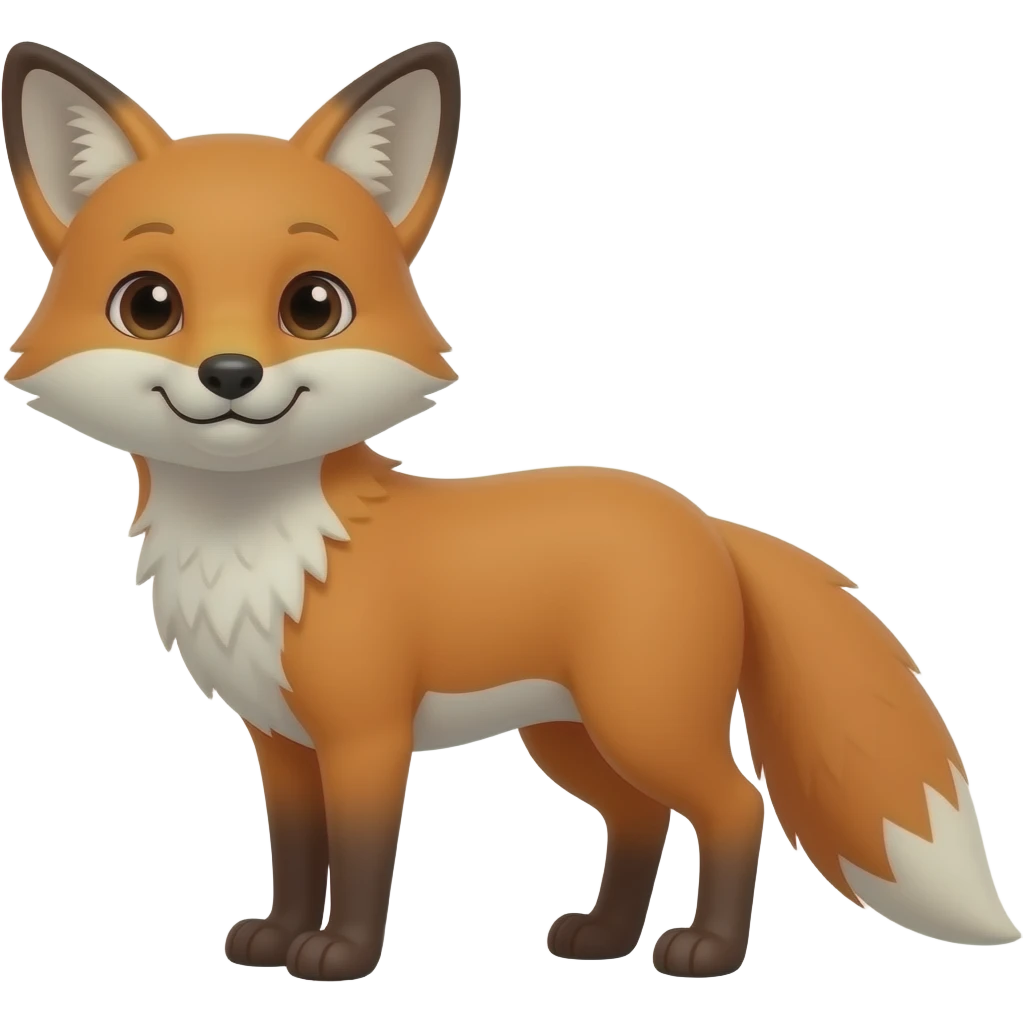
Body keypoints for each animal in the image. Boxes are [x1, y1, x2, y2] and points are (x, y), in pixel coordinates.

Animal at [1, 39, 1018, 984]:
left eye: (313, 304)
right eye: (149, 304)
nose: (230, 375)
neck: (262, 546)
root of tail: (702, 518)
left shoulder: (366, 735)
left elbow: (360, 858)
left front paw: (340, 952)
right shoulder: (281, 742)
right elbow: (294, 853)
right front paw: (277, 936)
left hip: (640, 720)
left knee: (735, 804)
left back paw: (707, 951)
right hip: (570, 735)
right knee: (640, 817)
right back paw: (603, 937)